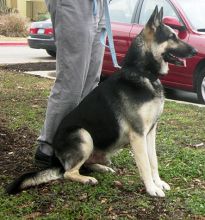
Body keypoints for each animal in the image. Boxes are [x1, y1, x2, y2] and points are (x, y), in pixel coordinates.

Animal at [6, 6, 197, 198]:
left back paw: (101, 168)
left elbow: (153, 162)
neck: (144, 73)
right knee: (68, 172)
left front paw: (158, 183)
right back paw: (86, 179)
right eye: (172, 37)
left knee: (84, 165)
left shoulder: (150, 133)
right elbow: (144, 165)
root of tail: (57, 160)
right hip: (83, 135)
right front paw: (151, 188)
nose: (195, 51)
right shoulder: (138, 135)